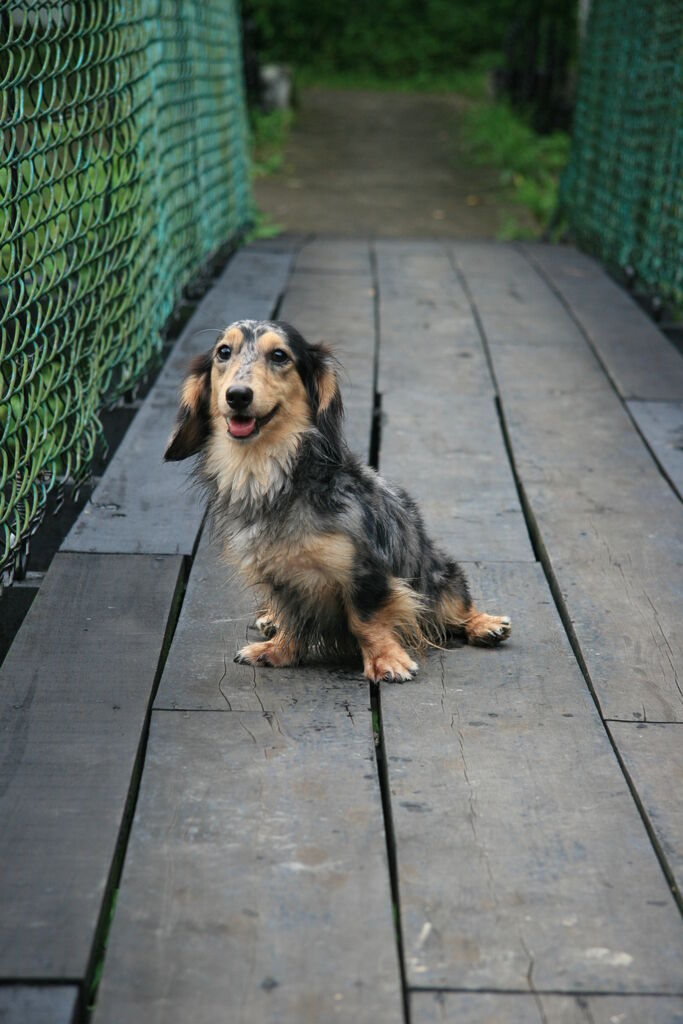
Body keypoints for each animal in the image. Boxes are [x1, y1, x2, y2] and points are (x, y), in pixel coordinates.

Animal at [164, 319, 511, 682]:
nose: (237, 395)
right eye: (223, 352)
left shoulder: (364, 570)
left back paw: (486, 625)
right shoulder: (278, 578)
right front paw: (278, 650)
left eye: (279, 355)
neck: (268, 476)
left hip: (441, 573)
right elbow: (291, 616)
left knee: (458, 606)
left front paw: (387, 660)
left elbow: (365, 620)